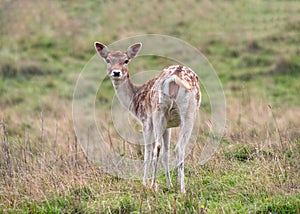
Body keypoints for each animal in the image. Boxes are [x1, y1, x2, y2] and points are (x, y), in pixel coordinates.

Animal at [95, 41, 200, 192]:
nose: (116, 72)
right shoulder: (168, 125)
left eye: (126, 60)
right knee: (178, 147)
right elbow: (166, 153)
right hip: (188, 112)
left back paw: (153, 185)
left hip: (157, 111)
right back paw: (182, 189)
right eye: (108, 60)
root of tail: (174, 78)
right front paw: (169, 184)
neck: (135, 100)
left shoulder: (145, 120)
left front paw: (145, 183)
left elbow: (147, 152)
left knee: (157, 147)